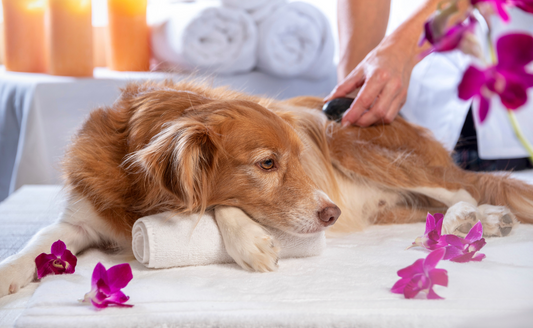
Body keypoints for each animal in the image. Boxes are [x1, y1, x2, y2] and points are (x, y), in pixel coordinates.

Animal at [1, 80, 532, 296]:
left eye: (297, 158)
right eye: (267, 164)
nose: (332, 213)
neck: (135, 190)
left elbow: (211, 205)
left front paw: (251, 242)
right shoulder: (79, 221)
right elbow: (38, 243)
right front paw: (9, 273)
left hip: (356, 145)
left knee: (465, 188)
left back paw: (476, 218)